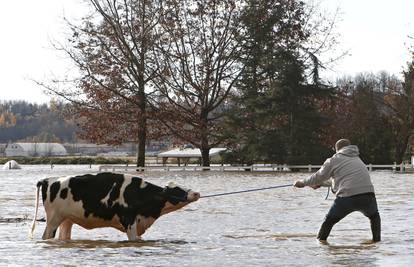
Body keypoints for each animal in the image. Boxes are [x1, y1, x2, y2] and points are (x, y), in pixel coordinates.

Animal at [28, 173, 200, 242]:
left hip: (67, 220)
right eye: (177, 190)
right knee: (46, 236)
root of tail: (47, 180)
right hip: (53, 220)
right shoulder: (129, 221)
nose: (196, 193)